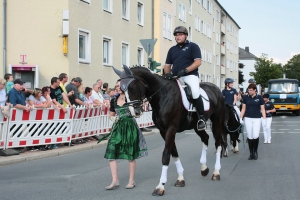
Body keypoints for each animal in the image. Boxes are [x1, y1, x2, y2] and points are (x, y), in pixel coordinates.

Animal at [114, 65, 225, 195]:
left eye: (131, 87)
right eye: (121, 90)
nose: (134, 112)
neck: (162, 95)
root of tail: (216, 88)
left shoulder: (171, 129)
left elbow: (166, 155)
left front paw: (160, 186)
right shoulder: (163, 131)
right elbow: (174, 153)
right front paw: (180, 179)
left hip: (217, 121)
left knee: (218, 144)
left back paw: (216, 172)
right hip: (196, 125)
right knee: (205, 138)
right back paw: (204, 168)